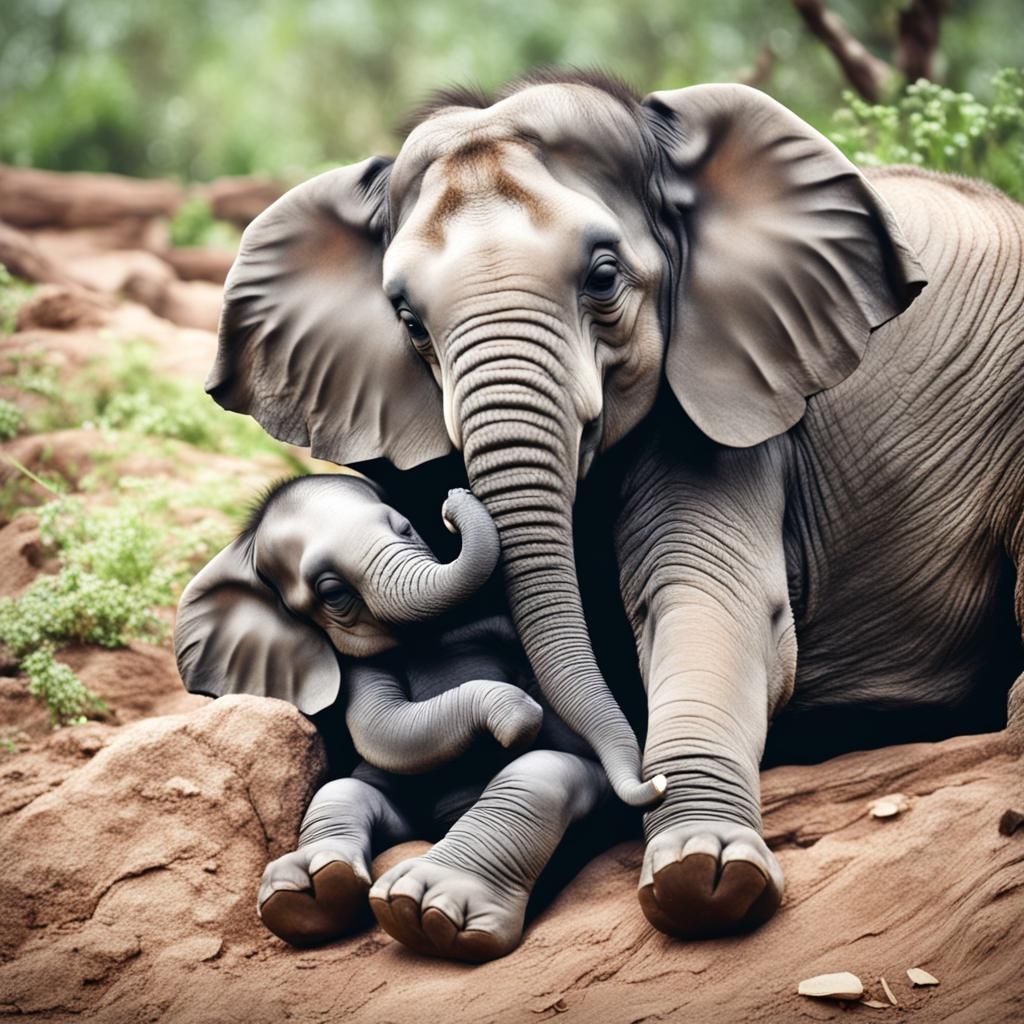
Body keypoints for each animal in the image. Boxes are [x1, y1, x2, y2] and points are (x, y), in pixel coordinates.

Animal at [174, 473, 609, 960]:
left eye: (406, 529)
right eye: (331, 593)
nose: (452, 500)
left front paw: (520, 717)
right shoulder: (358, 671)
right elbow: (379, 728)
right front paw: (513, 712)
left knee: (540, 773)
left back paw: (424, 912)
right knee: (347, 789)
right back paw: (308, 894)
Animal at [204, 69, 1024, 941]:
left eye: (602, 278)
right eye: (408, 321)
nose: (456, 505)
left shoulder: (730, 398)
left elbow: (710, 597)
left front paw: (704, 874)